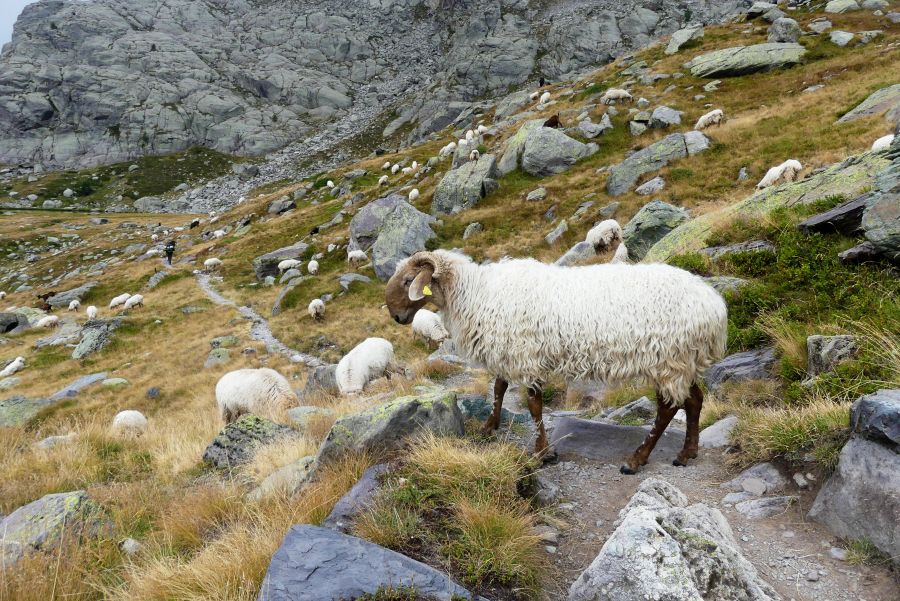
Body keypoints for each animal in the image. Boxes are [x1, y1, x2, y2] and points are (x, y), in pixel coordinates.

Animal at [385, 250, 727, 473]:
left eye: (407, 281)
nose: (395, 316)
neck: (475, 294)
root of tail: (714, 306)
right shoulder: (511, 350)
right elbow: (498, 388)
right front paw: (489, 427)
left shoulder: (526, 354)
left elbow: (534, 405)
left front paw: (542, 453)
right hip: (685, 360)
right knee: (695, 400)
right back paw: (687, 453)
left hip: (667, 359)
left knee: (668, 409)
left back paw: (636, 460)